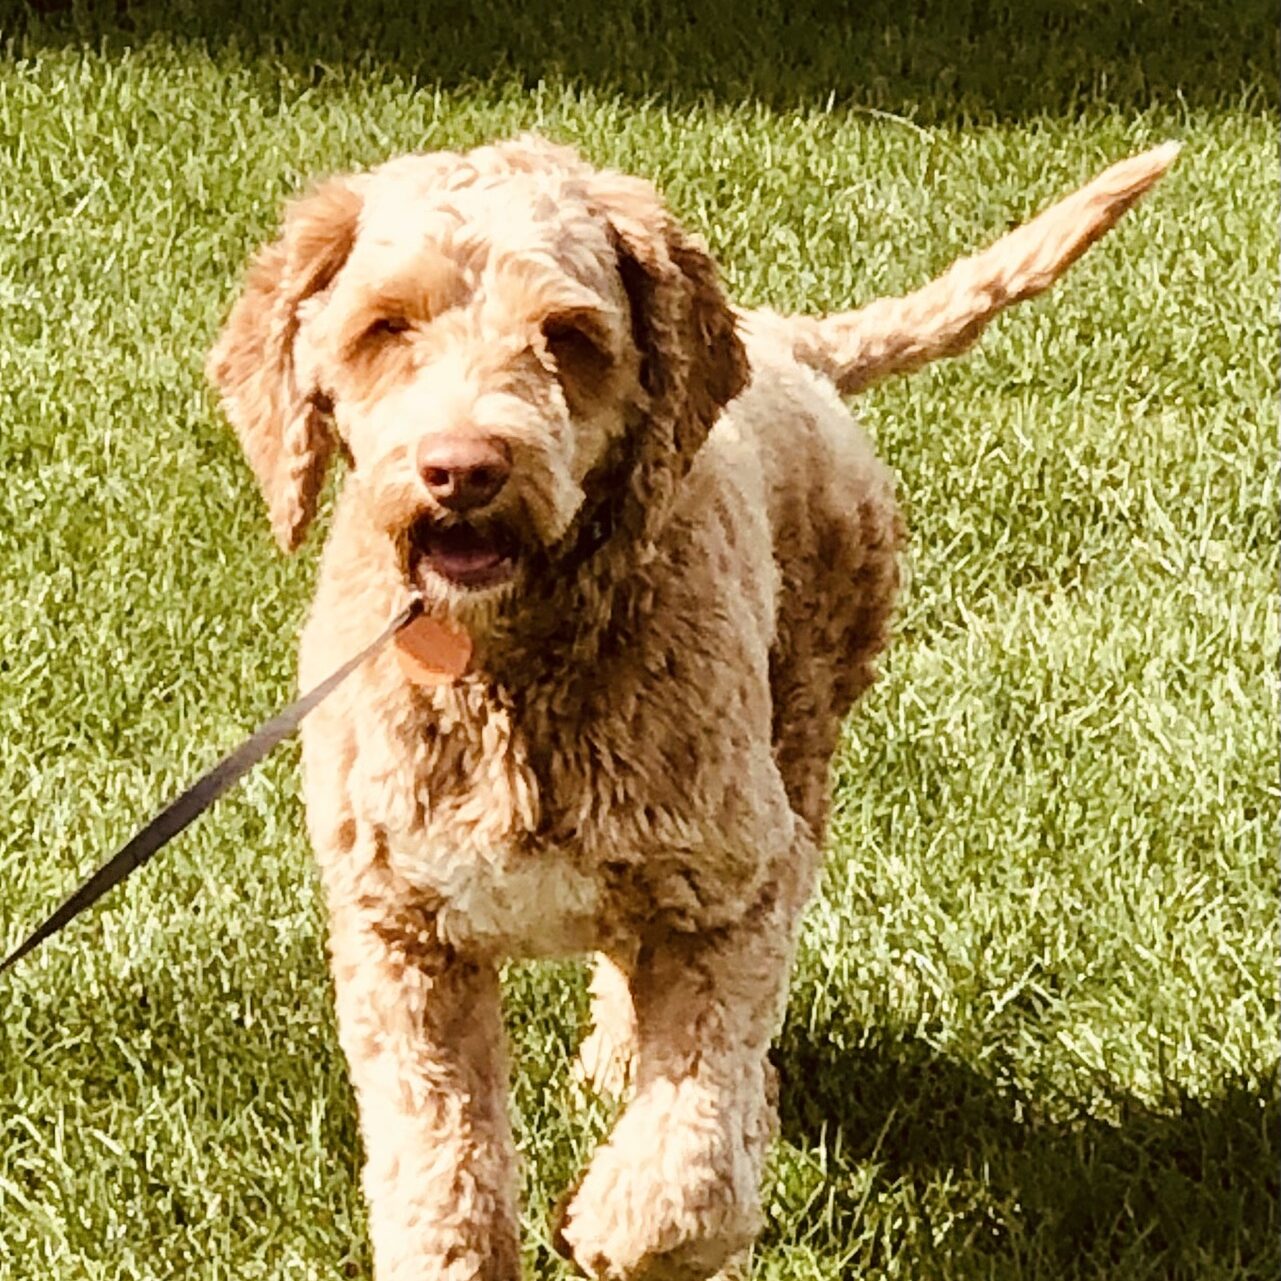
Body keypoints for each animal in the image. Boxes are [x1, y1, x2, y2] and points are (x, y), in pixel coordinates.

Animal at [204, 135, 1173, 1275]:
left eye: (567, 336)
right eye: (384, 327)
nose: (463, 469)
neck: (513, 664)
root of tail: (785, 340)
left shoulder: (730, 889)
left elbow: (693, 1163)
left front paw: (624, 1219)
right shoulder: (400, 933)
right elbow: (441, 1178)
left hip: (795, 737)